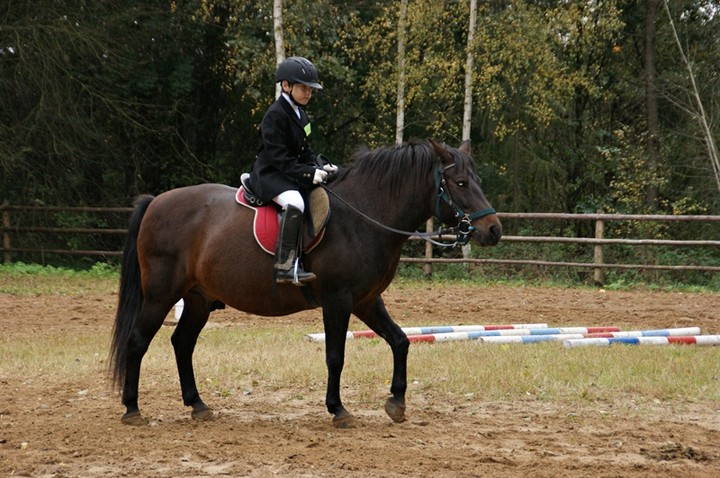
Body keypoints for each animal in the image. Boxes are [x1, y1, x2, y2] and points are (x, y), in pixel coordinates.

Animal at [111, 138, 500, 426]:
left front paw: (396, 403)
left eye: (479, 182)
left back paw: (198, 405)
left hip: (198, 299)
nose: (493, 230)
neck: (364, 215)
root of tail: (156, 202)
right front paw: (338, 410)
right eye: (460, 183)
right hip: (160, 296)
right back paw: (132, 409)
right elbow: (335, 355)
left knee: (182, 343)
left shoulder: (366, 301)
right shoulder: (338, 300)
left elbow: (401, 341)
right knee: (137, 341)